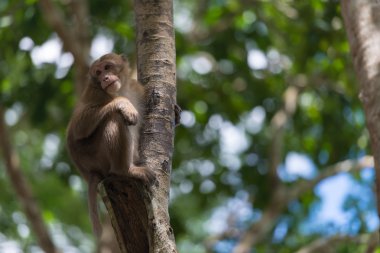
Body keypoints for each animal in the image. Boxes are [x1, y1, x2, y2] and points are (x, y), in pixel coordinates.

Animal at [66, 52, 155, 237]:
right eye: (98, 73)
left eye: (107, 67)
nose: (105, 78)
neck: (121, 89)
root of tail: (90, 172)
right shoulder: (94, 93)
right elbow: (77, 129)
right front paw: (124, 103)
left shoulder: (137, 88)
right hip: (96, 157)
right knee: (114, 117)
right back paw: (125, 170)